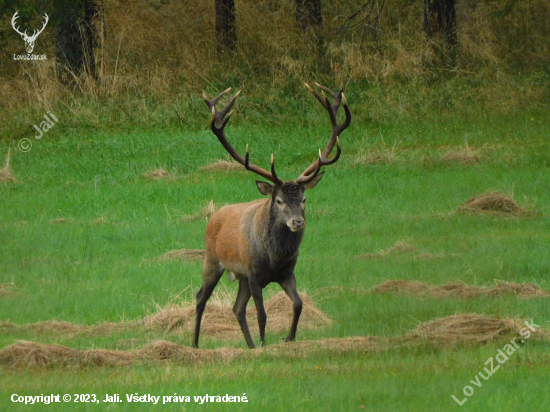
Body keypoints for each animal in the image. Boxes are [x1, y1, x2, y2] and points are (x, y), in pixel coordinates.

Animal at [194, 83, 352, 348]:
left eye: (304, 200)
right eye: (279, 201)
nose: (297, 222)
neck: (274, 257)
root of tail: (214, 217)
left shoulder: (287, 273)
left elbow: (298, 304)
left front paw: (288, 337)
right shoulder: (254, 273)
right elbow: (262, 314)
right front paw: (264, 345)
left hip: (241, 277)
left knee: (237, 308)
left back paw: (248, 346)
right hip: (213, 260)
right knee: (200, 298)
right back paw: (195, 344)